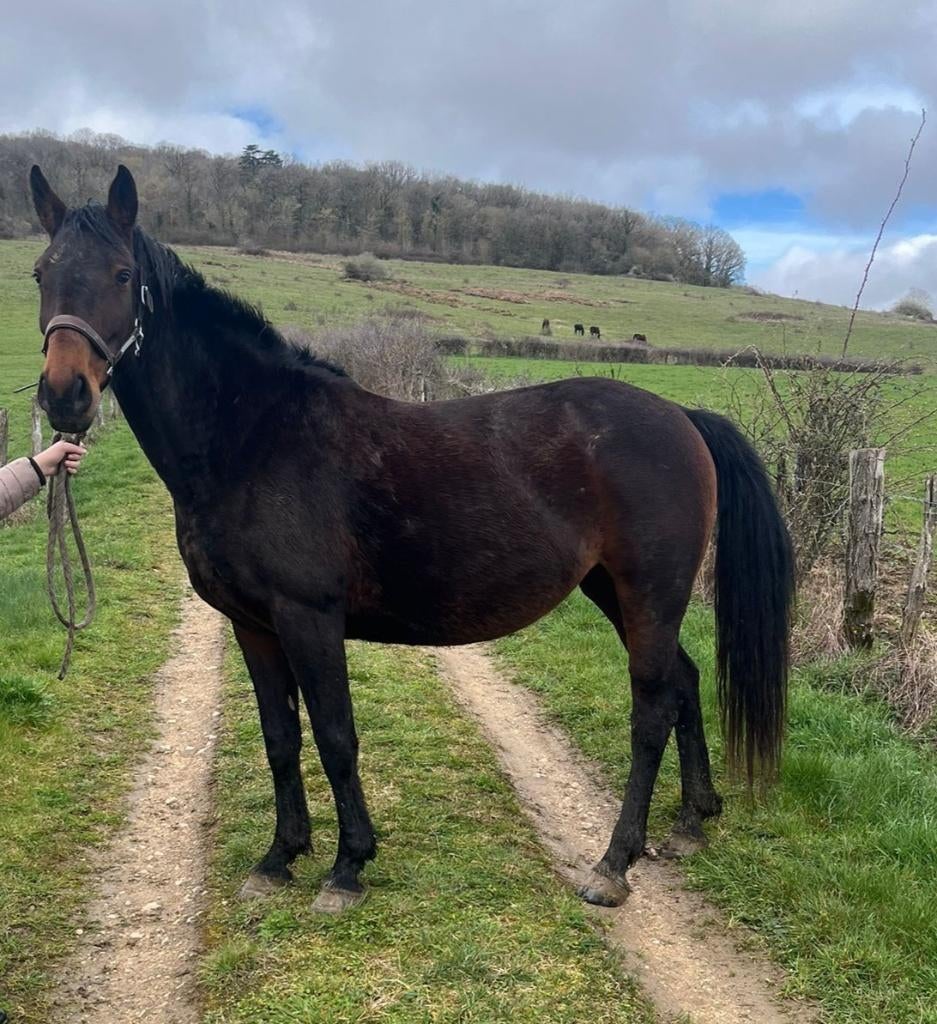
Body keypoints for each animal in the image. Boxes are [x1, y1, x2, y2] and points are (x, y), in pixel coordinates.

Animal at [29, 165, 794, 915]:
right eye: (41, 272)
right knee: (685, 684)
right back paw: (691, 821)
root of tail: (682, 417)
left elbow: (336, 737)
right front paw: (278, 860)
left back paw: (613, 864)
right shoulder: (253, 625)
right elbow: (280, 739)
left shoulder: (308, 617)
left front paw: (347, 867)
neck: (252, 436)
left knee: (651, 710)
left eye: (123, 274)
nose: (65, 395)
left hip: (649, 591)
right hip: (611, 588)